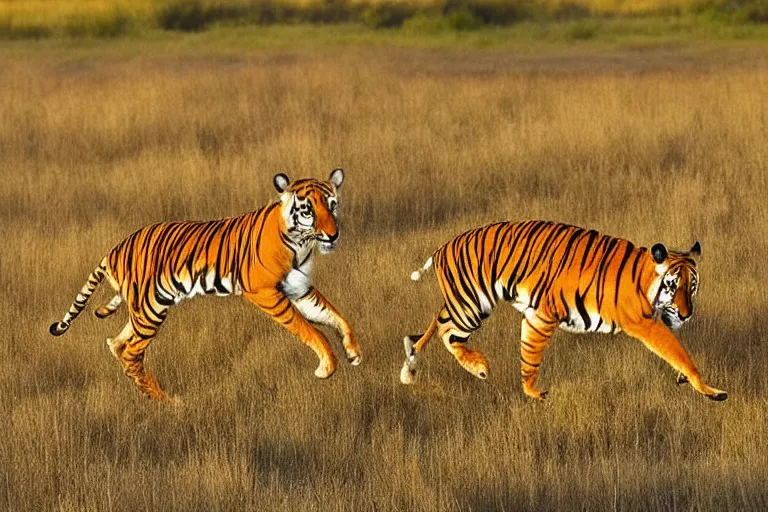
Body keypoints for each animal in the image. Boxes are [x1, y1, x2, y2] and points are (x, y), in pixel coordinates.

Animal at [51, 170, 364, 402]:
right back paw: (166, 402)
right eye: (308, 210)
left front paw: (353, 352)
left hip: (142, 311)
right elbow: (310, 330)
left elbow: (335, 316)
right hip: (151, 309)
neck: (302, 245)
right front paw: (327, 367)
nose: (333, 235)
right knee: (130, 353)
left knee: (116, 343)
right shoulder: (266, 293)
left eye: (332, 205)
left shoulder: (299, 290)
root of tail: (113, 250)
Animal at [400, 222, 728, 402]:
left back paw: (412, 367)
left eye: (692, 287)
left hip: (462, 302)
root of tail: (443, 247)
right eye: (673, 286)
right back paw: (478, 366)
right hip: (470, 304)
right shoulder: (642, 323)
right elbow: (680, 353)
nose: (686, 314)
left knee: (432, 327)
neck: (645, 278)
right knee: (447, 332)